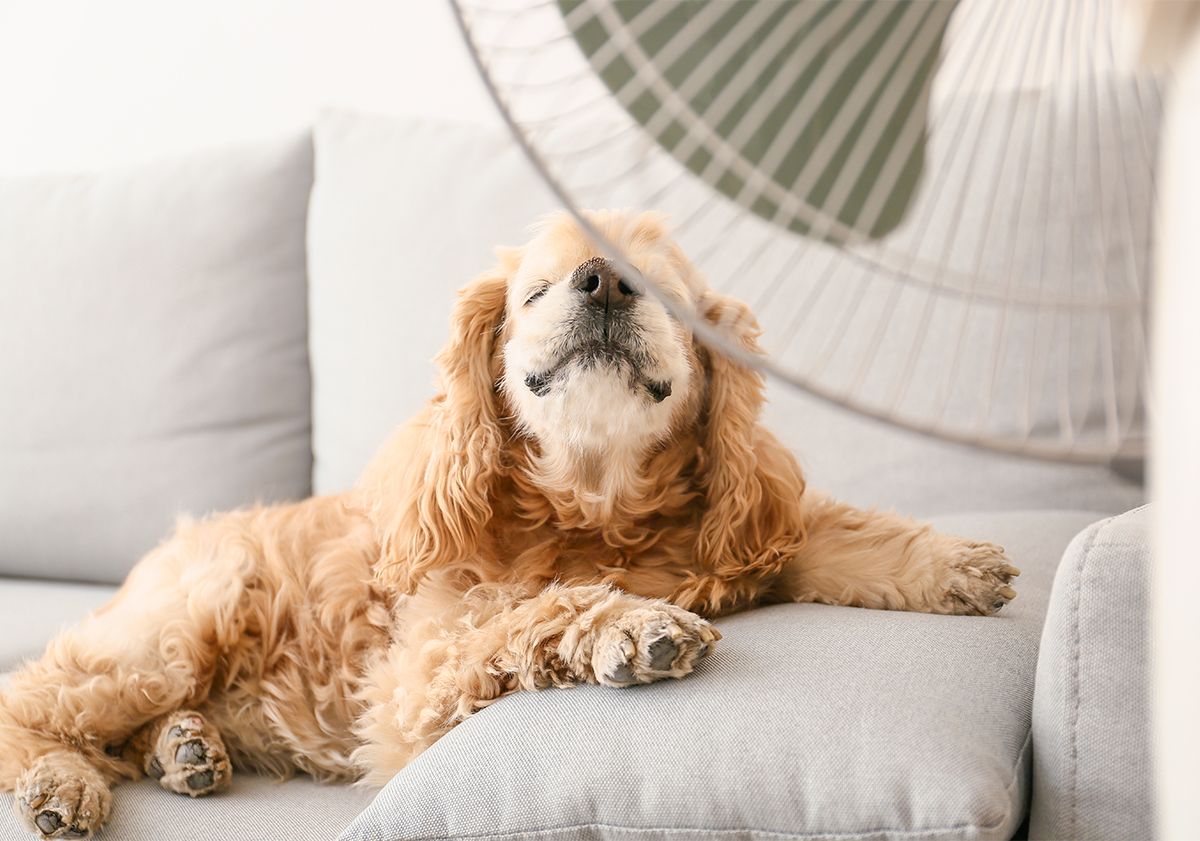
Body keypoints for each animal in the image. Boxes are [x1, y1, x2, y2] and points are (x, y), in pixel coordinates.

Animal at [0, 209, 1017, 835]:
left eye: (661, 287)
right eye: (536, 290)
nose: (602, 281)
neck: (596, 507)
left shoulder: (746, 528)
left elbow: (846, 534)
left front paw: (957, 564)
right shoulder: (417, 677)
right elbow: (536, 611)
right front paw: (630, 627)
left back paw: (185, 751)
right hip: (181, 621)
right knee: (32, 704)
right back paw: (65, 784)